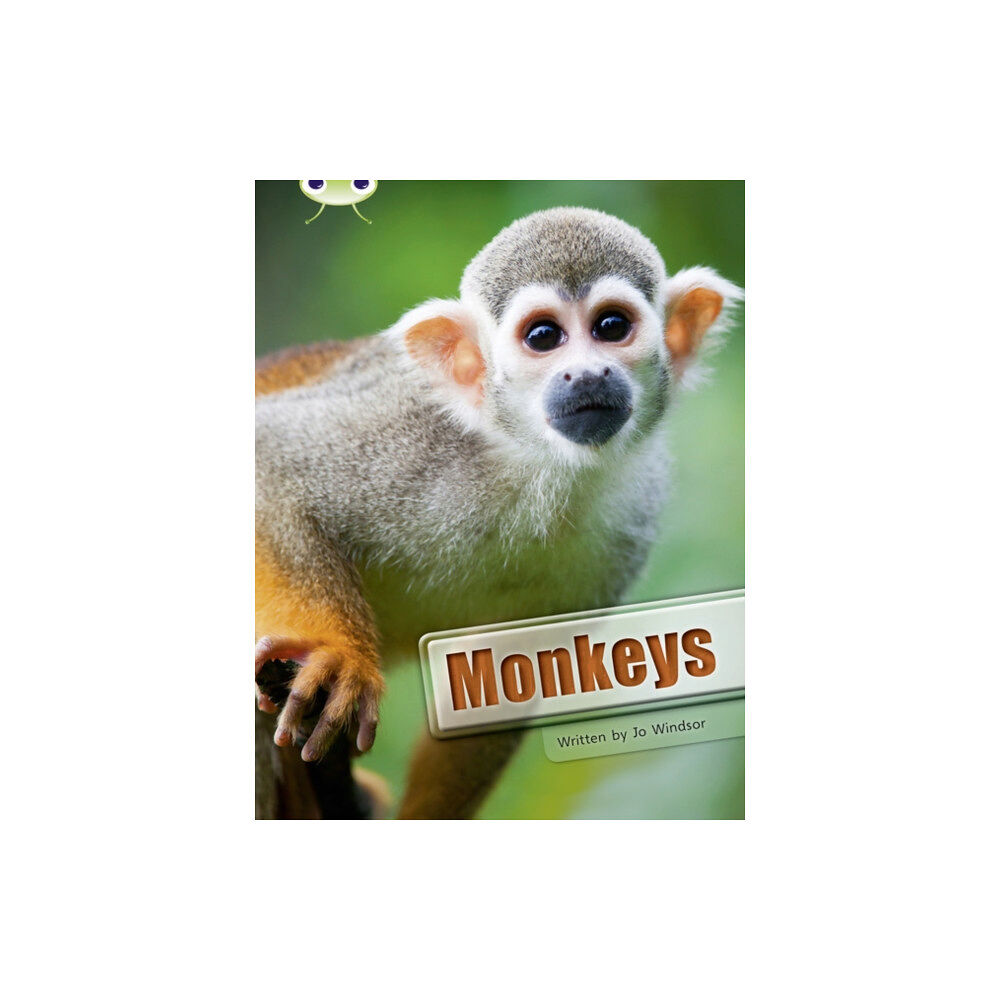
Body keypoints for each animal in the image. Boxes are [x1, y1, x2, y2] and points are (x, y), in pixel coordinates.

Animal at [255, 206, 743, 819]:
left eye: (611, 327)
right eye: (544, 337)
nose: (588, 375)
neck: (536, 465)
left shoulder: (634, 513)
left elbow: (507, 677)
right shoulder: (407, 433)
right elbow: (270, 458)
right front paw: (339, 658)